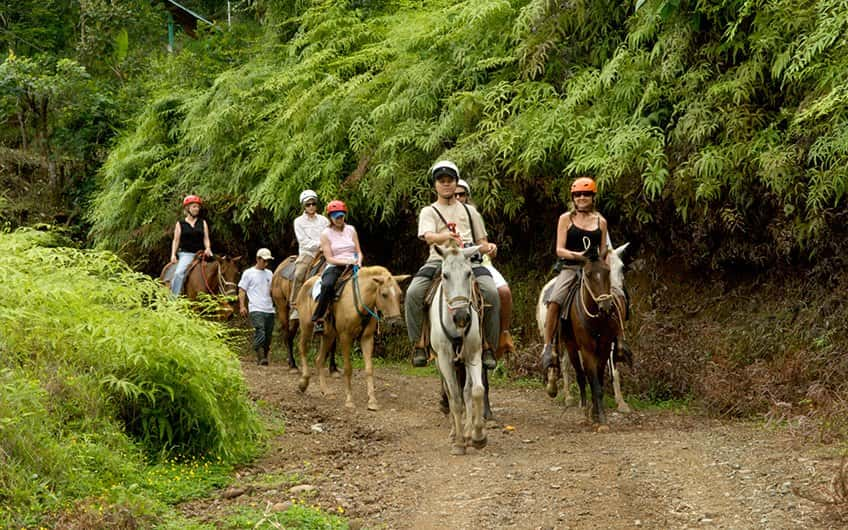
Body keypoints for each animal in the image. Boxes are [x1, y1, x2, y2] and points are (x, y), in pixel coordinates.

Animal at [294, 264, 410, 408]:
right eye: (384, 294)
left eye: (400, 294)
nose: (396, 323)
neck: (360, 301)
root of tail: (306, 283)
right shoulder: (345, 337)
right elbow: (348, 368)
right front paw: (349, 400)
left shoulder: (367, 338)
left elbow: (369, 368)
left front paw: (372, 401)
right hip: (306, 326)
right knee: (303, 349)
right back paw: (303, 382)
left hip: (329, 335)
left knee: (319, 359)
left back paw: (326, 391)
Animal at [532, 242, 632, 412]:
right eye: (590, 274)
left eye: (621, 267)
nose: (616, 297)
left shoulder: (609, 340)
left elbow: (614, 369)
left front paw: (621, 403)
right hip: (557, 336)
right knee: (557, 358)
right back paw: (561, 393)